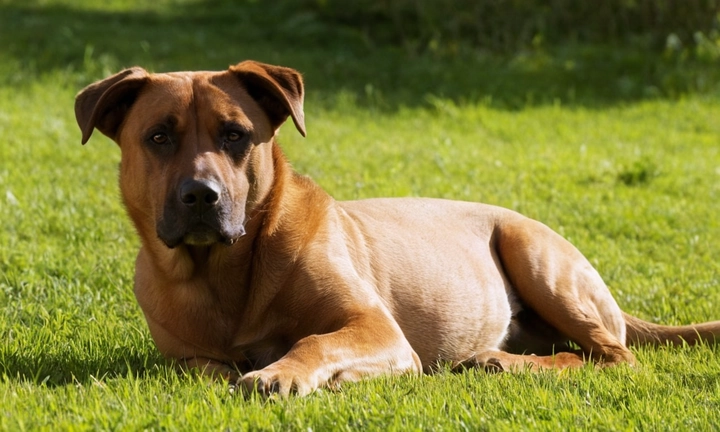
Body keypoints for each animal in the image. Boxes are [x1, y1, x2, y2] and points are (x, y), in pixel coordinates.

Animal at [74, 60, 720, 394]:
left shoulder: (376, 328)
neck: (225, 272)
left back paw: (503, 362)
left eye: (235, 134)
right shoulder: (182, 355)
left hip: (536, 256)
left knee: (611, 357)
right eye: (159, 135)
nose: (200, 196)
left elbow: (315, 340)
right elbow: (203, 368)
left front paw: (282, 372)